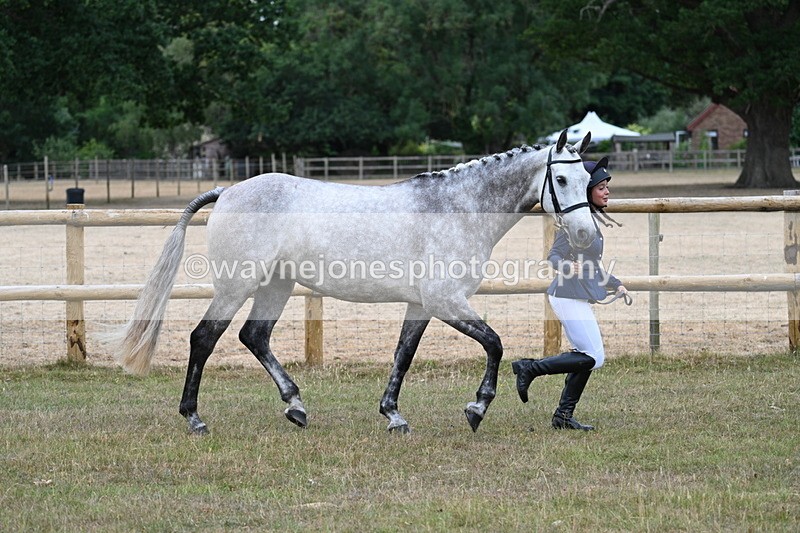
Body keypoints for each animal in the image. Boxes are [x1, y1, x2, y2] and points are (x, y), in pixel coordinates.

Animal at [113, 129, 595, 434]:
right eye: (561, 178)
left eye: (590, 178)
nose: (586, 235)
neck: (458, 208)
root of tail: (228, 191)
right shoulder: (446, 301)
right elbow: (494, 343)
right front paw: (476, 408)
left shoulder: (422, 306)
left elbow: (403, 355)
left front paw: (393, 416)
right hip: (237, 285)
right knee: (204, 338)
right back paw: (194, 419)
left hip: (275, 286)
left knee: (255, 336)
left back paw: (296, 407)